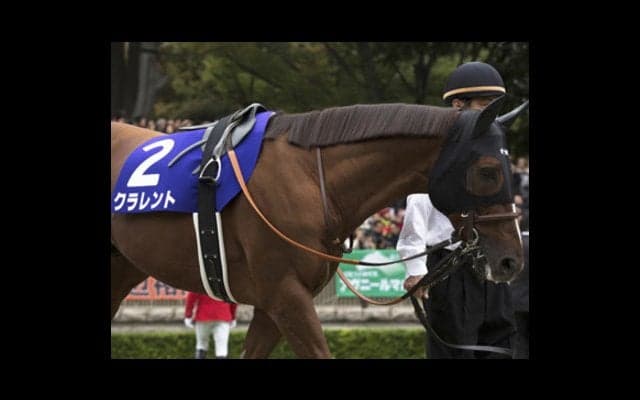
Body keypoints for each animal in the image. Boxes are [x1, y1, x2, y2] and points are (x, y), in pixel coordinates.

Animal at [111, 98, 526, 358]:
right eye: (488, 171)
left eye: (509, 168)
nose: (511, 261)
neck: (310, 179)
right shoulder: (285, 295)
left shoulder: (274, 303)